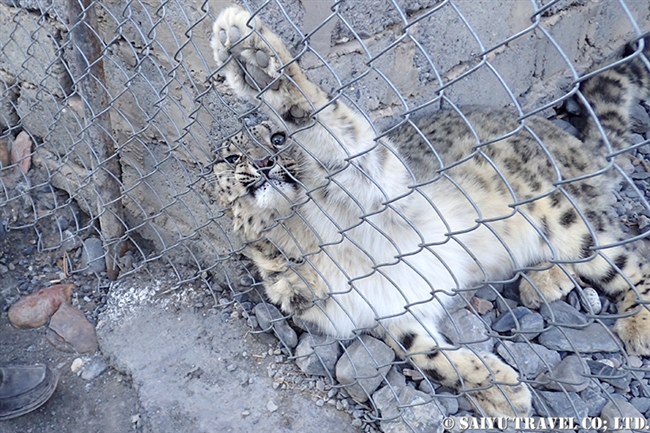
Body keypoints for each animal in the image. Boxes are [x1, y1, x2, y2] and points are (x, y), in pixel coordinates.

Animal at [211, 6, 648, 416]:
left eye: (278, 138)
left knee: (628, 259)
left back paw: (636, 325)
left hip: (563, 217)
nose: (264, 161)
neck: (298, 239)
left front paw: (253, 59)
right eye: (233, 157)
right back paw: (544, 281)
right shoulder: (382, 310)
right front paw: (501, 392)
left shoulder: (378, 192)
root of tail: (575, 147)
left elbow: (335, 134)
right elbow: (429, 355)